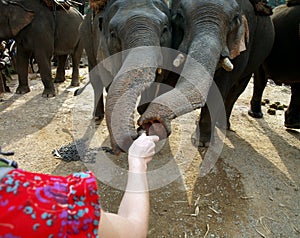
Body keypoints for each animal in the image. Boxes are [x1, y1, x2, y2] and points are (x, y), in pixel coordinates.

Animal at [137, 0, 276, 147]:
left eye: (235, 19)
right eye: (179, 15)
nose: (148, 121)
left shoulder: (242, 48)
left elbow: (219, 88)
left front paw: (202, 143)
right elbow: (169, 78)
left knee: (236, 90)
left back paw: (223, 126)